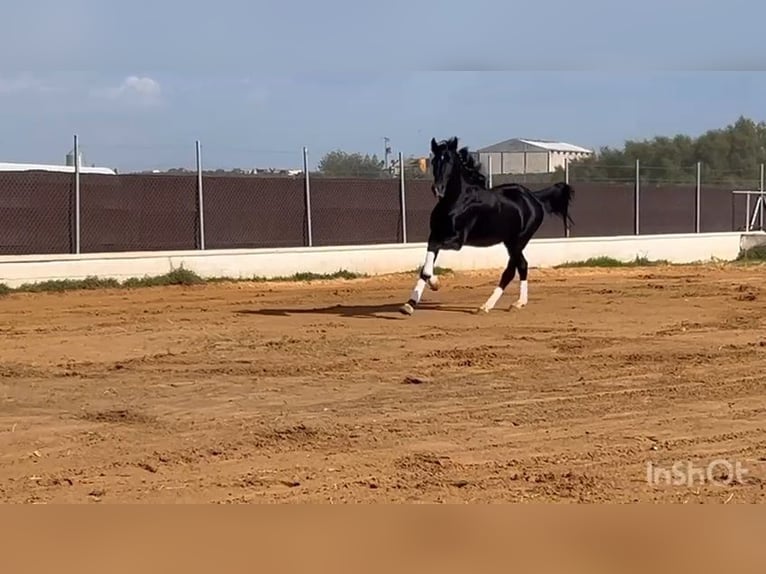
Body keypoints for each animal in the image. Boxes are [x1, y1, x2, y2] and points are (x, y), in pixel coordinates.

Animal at [402, 138, 576, 318]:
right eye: (434, 160)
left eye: (449, 160)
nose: (438, 189)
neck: (457, 200)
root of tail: (534, 197)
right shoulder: (435, 235)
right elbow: (425, 267)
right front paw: (410, 304)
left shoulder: (456, 240)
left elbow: (427, 268)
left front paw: (434, 283)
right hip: (510, 242)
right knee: (519, 267)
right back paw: (515, 303)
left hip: (518, 241)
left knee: (515, 269)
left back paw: (490, 306)